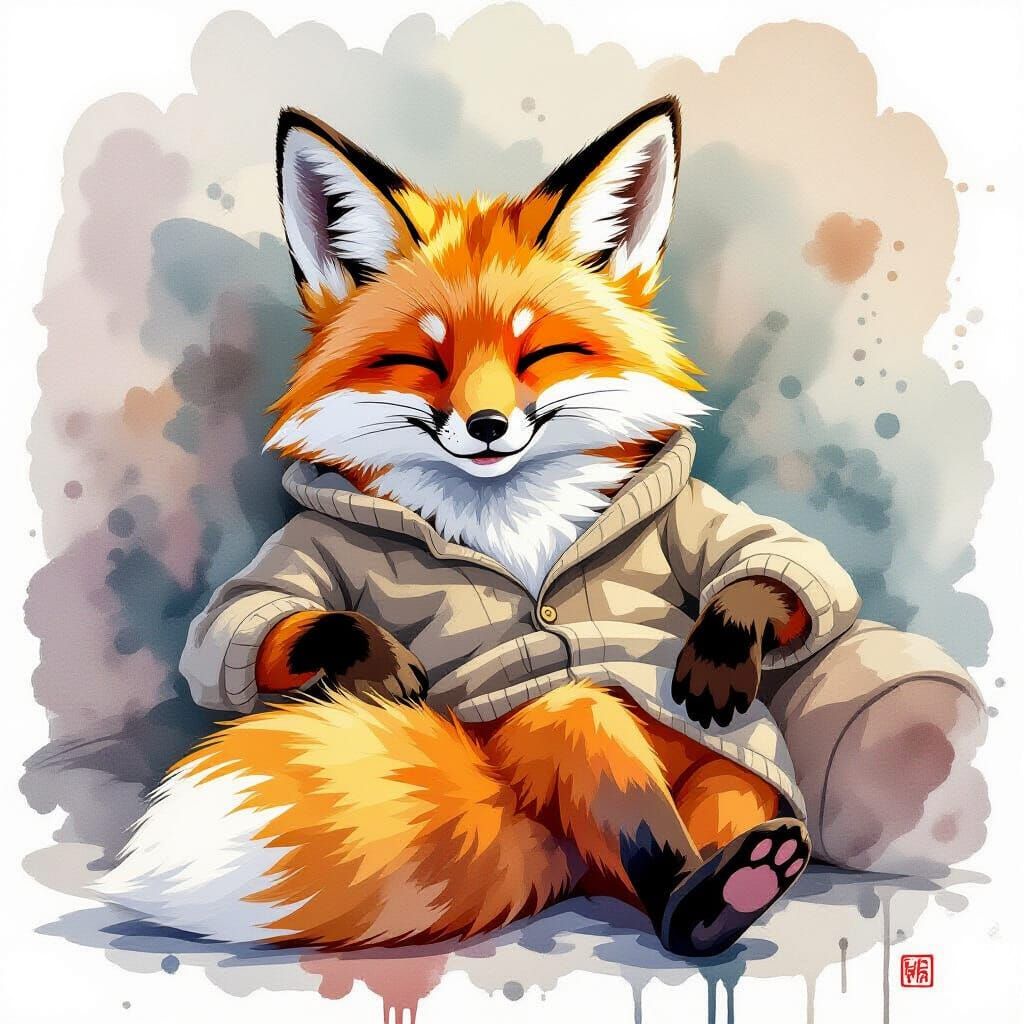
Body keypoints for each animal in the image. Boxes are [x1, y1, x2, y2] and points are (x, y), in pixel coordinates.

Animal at [95, 97, 863, 957]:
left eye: (542, 354)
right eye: (422, 362)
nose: (488, 425)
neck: (508, 521)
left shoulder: (691, 516)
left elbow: (781, 558)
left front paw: (725, 642)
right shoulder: (307, 549)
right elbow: (239, 618)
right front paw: (368, 658)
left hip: (730, 768)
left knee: (731, 794)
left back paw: (738, 879)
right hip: (546, 740)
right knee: (580, 728)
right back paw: (698, 898)